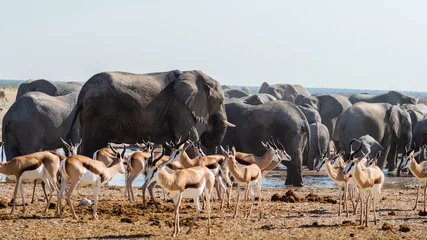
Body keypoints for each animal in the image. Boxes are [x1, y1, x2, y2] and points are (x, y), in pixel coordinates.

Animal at [68, 69, 232, 158]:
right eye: (221, 102)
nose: (207, 134)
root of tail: (82, 92)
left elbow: (173, 143)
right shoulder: (179, 106)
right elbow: (189, 138)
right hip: (97, 112)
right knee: (91, 145)